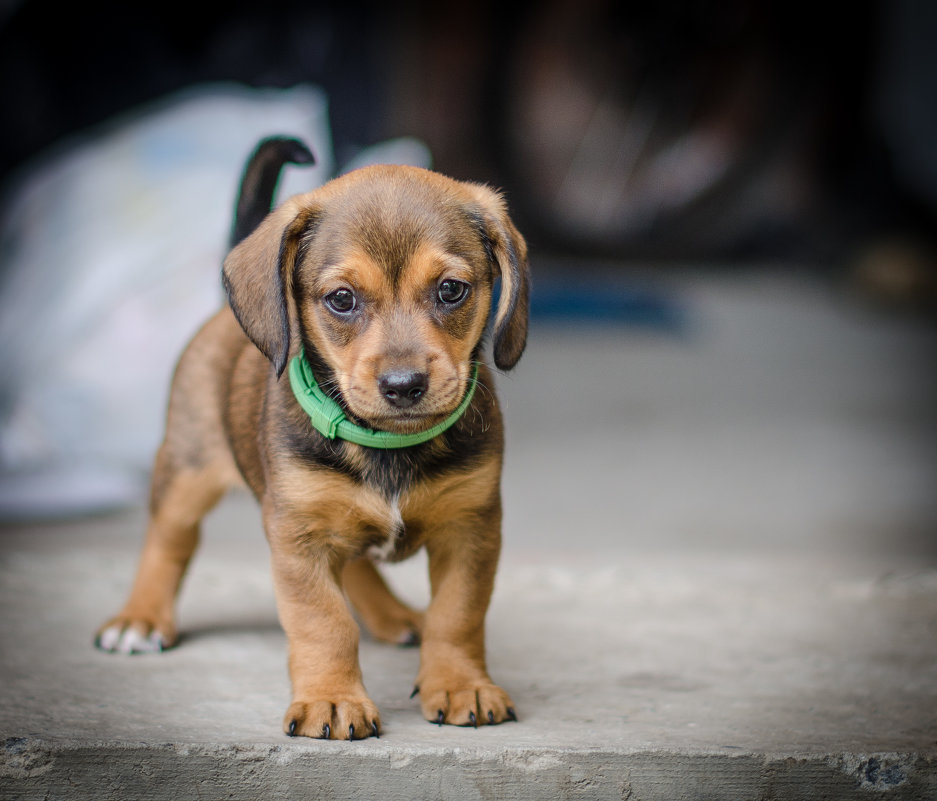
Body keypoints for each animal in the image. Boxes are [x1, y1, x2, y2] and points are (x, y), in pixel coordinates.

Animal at [100, 136, 532, 736]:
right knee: (169, 542)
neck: (385, 445)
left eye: (451, 291)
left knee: (357, 566)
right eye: (341, 299)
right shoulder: (298, 536)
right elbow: (323, 622)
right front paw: (332, 698)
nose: (404, 386)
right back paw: (140, 619)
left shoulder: (471, 527)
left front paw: (459, 683)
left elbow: (458, 614)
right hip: (186, 469)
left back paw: (395, 616)